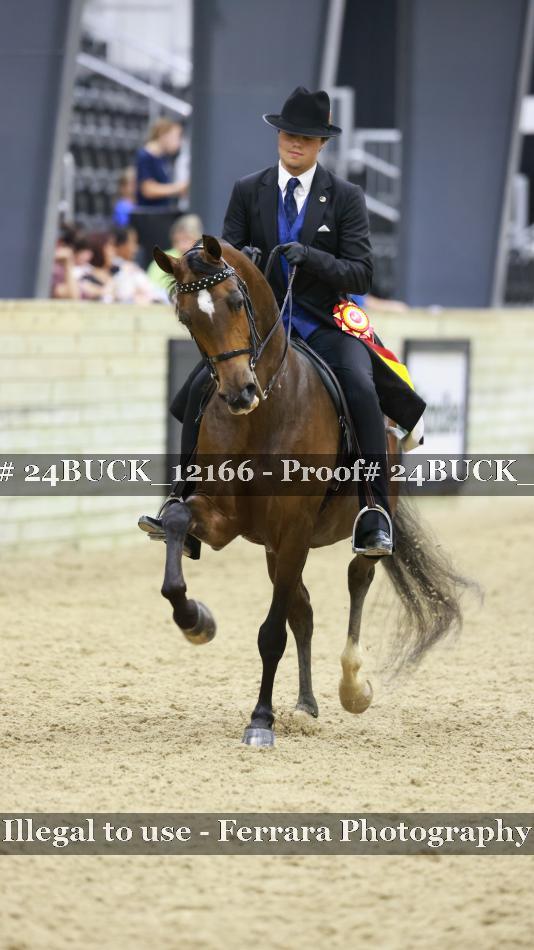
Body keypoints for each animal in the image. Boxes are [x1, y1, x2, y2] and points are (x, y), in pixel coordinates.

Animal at [151, 235, 470, 747]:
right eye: (186, 317)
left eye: (235, 301)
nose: (239, 394)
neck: (265, 413)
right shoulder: (223, 517)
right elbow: (180, 526)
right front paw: (196, 621)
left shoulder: (294, 527)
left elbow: (271, 634)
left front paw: (260, 720)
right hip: (273, 547)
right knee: (303, 609)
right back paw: (304, 705)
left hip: (350, 524)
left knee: (358, 578)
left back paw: (352, 687)